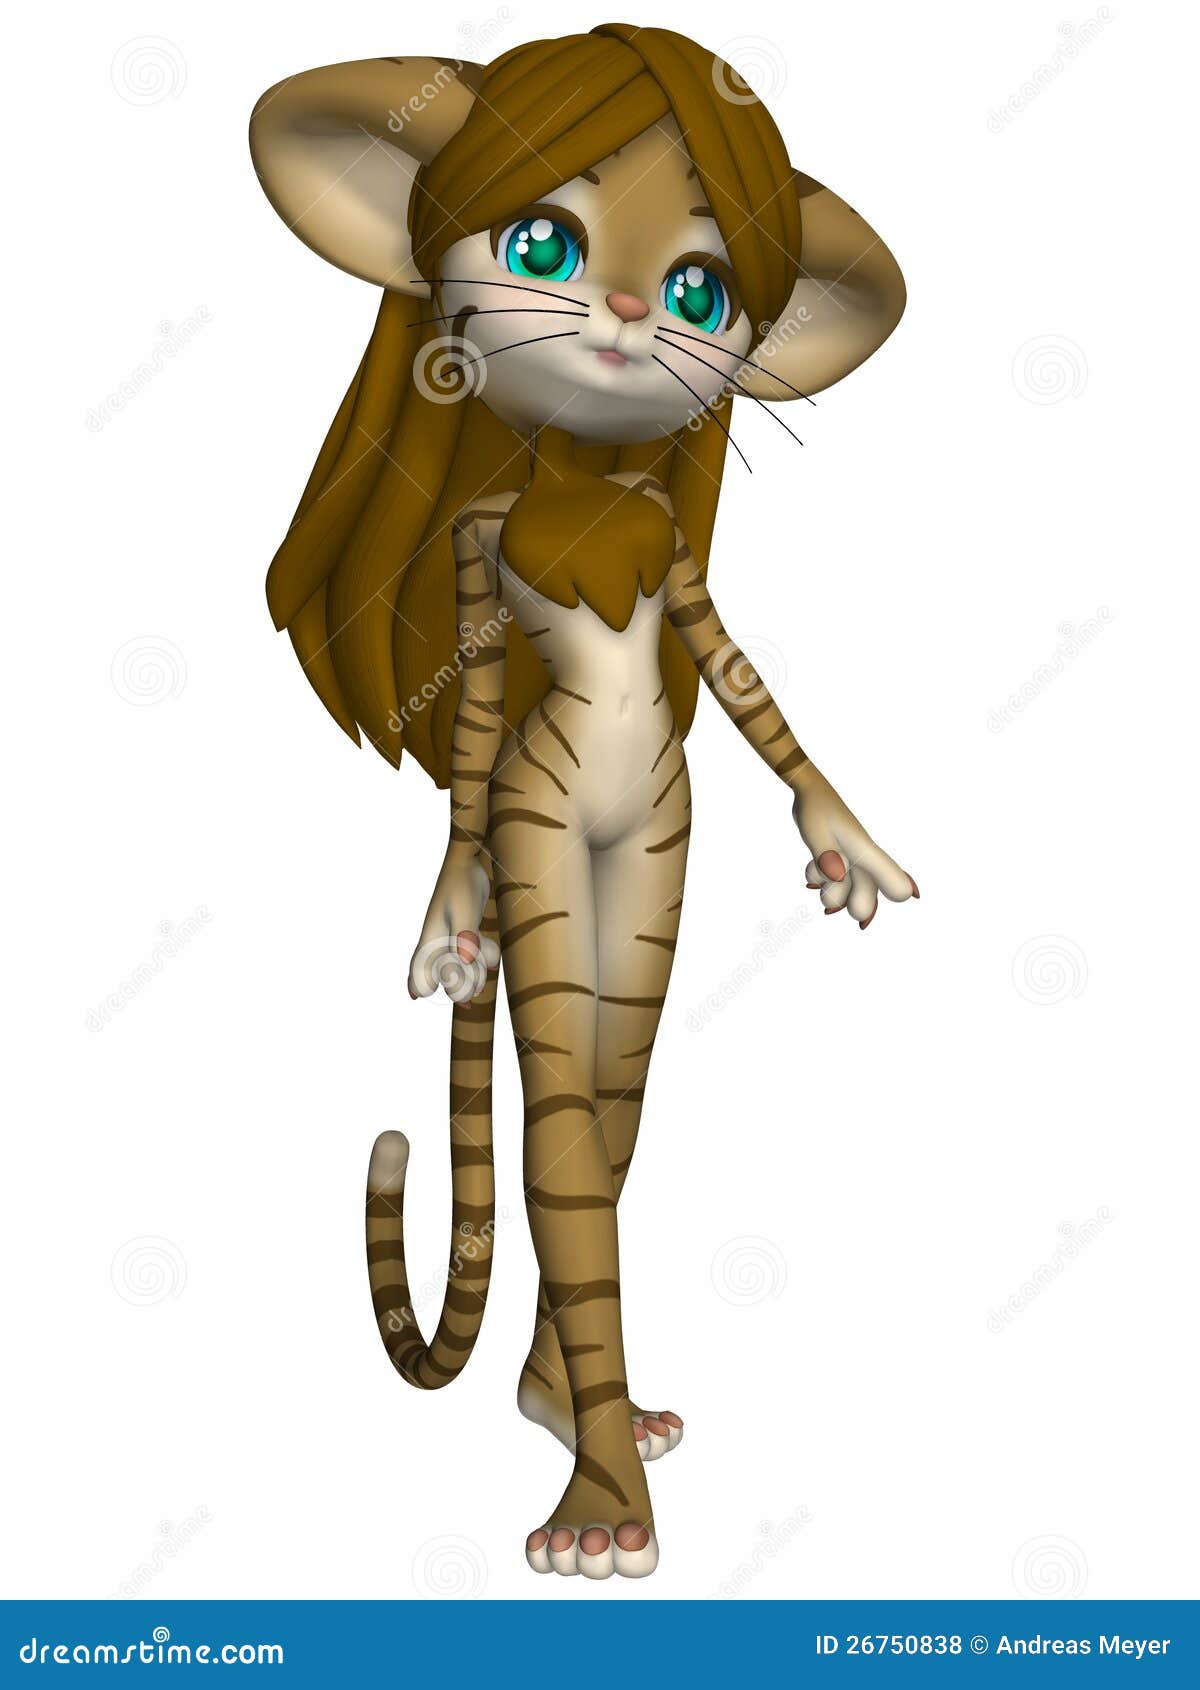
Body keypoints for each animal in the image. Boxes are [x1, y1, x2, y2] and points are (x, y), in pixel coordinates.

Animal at [250, 23, 917, 1581]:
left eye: (699, 290)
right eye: (540, 240)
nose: (619, 310)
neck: (585, 484)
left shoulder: (667, 555)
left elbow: (737, 676)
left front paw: (845, 840)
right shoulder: (483, 563)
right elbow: (481, 718)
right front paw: (602, 1521)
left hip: (655, 858)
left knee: (617, 1087)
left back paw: (564, 1398)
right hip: (559, 842)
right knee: (575, 1114)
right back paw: (577, 1430)